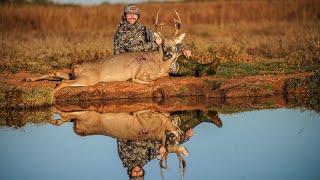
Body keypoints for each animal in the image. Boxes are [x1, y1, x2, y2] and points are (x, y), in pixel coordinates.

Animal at [24, 9, 185, 97]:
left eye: (175, 45)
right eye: (163, 45)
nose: (169, 55)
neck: (159, 61)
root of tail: (78, 66)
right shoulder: (141, 71)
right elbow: (149, 80)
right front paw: (134, 80)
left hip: (76, 75)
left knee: (57, 73)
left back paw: (28, 79)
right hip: (88, 78)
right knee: (63, 83)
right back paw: (51, 97)